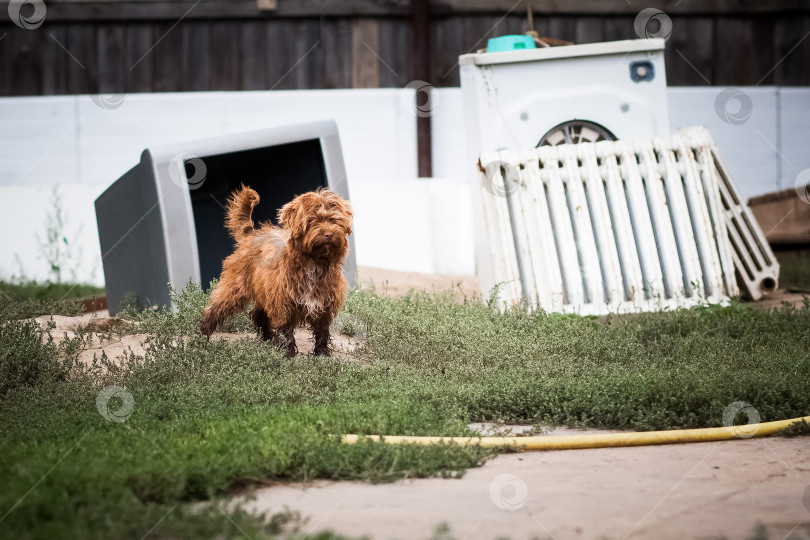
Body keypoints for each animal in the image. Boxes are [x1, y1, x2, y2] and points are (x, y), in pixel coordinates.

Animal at [198, 186, 350, 358]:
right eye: (313, 220)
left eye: (334, 220)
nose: (329, 234)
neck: (313, 262)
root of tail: (251, 234)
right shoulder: (282, 303)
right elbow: (286, 331)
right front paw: (288, 353)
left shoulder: (324, 305)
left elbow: (322, 331)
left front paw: (322, 354)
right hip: (234, 288)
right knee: (214, 309)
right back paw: (202, 337)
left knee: (259, 315)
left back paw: (268, 339)